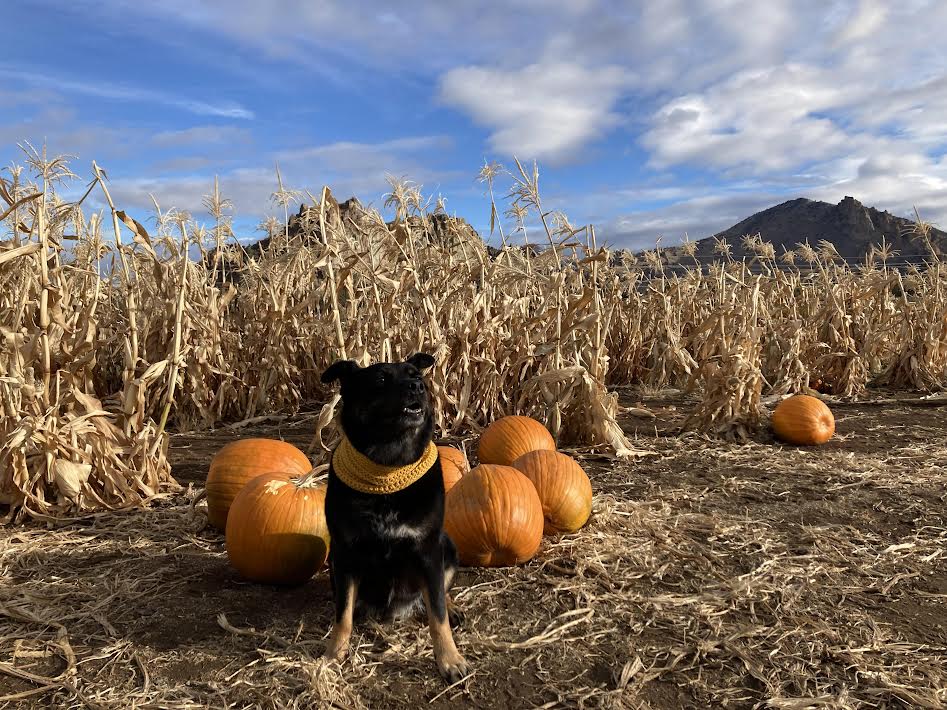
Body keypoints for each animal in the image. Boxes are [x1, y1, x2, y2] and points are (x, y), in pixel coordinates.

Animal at [320, 354, 468, 684]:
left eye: (415, 375)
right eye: (381, 380)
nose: (417, 387)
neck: (387, 468)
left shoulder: (428, 552)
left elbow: (437, 613)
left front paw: (449, 659)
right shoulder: (344, 556)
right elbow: (342, 614)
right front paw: (335, 652)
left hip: (448, 545)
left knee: (440, 593)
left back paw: (452, 607)